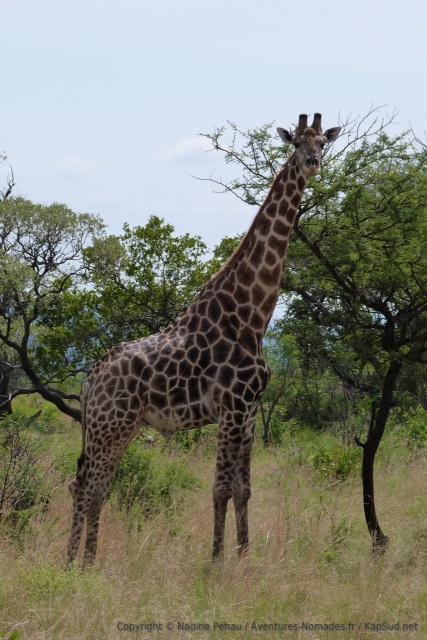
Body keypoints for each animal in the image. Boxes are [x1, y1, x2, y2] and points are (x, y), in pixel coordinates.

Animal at [67, 113, 341, 566]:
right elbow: (221, 488)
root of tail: (89, 379)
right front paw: (216, 560)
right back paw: (76, 563)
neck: (252, 316)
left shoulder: (249, 411)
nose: (312, 162)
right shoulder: (231, 407)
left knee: (92, 484)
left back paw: (83, 561)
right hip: (111, 425)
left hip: (115, 427)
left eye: (322, 141)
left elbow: (244, 489)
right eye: (296, 142)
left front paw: (245, 558)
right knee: (87, 485)